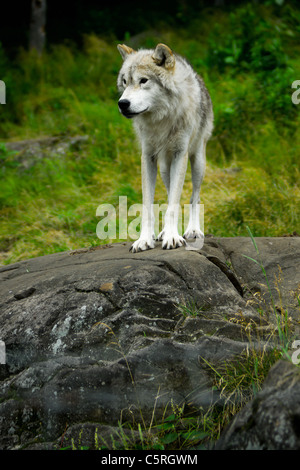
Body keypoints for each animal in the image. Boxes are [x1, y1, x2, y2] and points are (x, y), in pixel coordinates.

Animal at [116, 42, 212, 252]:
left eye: (143, 80)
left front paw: (173, 238)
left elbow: (174, 206)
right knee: (169, 194)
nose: (122, 103)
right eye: (125, 82)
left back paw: (192, 230)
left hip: (197, 162)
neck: (161, 119)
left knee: (194, 197)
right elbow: (149, 206)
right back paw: (163, 232)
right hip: (164, 168)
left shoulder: (180, 154)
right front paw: (145, 239)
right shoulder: (148, 157)